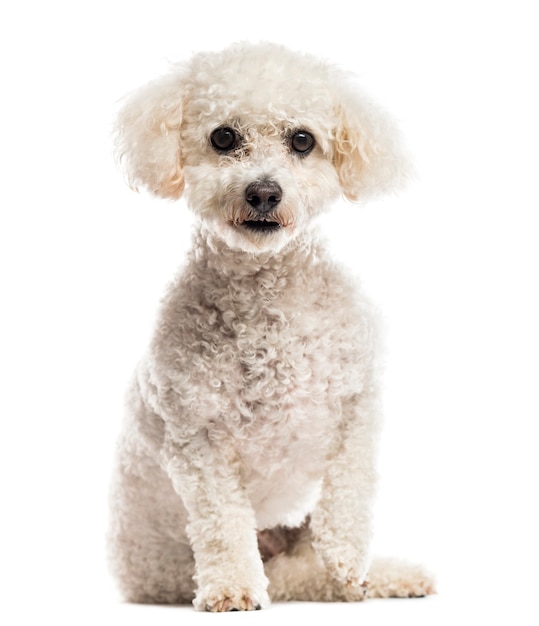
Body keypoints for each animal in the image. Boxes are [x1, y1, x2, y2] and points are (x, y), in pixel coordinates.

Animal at [107, 40, 436, 608]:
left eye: (302, 140)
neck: (268, 303)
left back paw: (385, 574)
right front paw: (232, 587)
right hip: (176, 568)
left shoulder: (359, 400)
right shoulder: (196, 440)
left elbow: (351, 485)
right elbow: (222, 523)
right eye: (223, 137)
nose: (263, 192)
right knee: (295, 575)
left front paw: (349, 553)